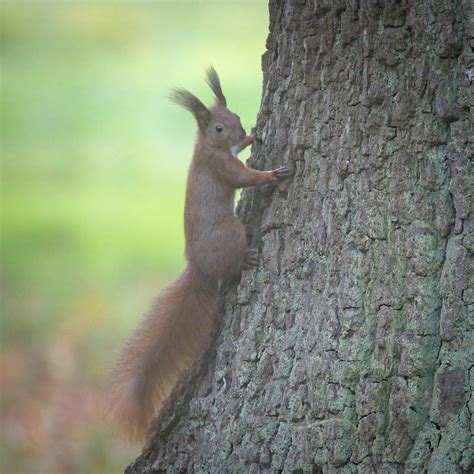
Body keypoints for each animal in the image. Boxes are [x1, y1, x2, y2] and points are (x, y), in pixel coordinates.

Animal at [105, 66, 290, 440]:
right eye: (217, 127)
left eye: (234, 116)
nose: (241, 129)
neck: (205, 146)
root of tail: (198, 265)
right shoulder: (221, 166)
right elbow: (245, 178)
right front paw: (271, 174)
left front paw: (252, 137)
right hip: (230, 231)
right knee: (231, 267)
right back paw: (245, 261)